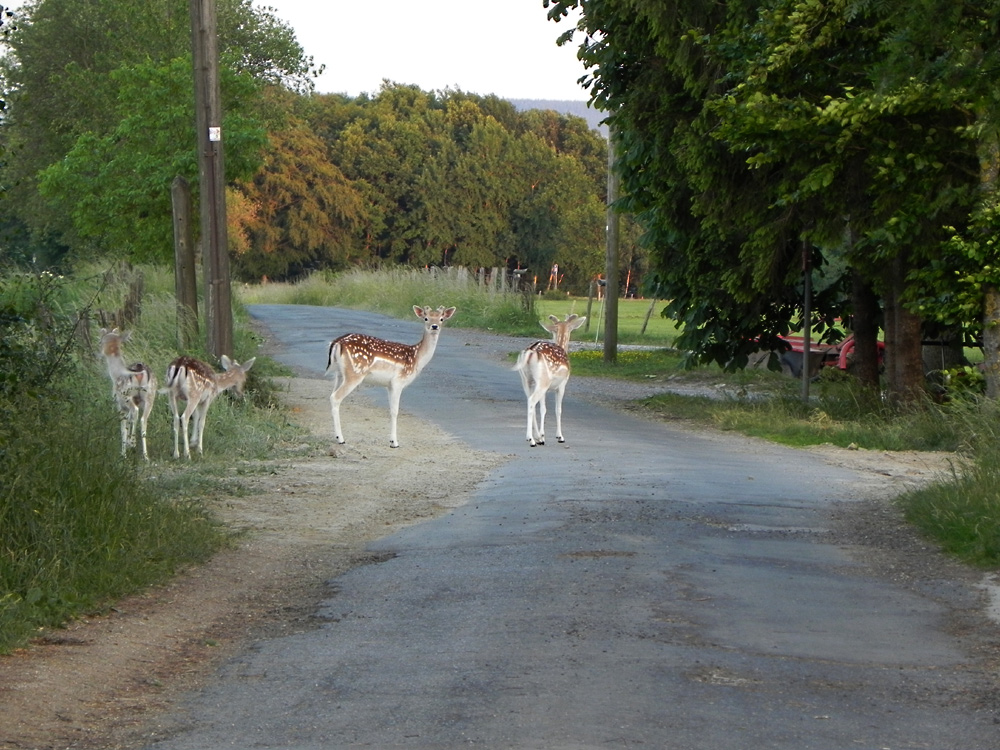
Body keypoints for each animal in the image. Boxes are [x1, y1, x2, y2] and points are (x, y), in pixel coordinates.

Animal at [98, 328, 157, 462]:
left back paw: (132, 444)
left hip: (126, 396)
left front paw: (123, 453)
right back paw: (145, 456)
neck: (114, 375)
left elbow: (123, 428)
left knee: (135, 412)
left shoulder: (119, 405)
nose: (99, 352)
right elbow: (129, 422)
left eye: (101, 341)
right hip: (150, 396)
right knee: (143, 420)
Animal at [324, 304, 458, 450]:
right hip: (355, 373)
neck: (416, 358)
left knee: (331, 395)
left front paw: (391, 440)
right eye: (426, 318)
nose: (434, 326)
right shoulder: (398, 381)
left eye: (441, 318)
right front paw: (394, 442)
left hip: (339, 374)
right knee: (335, 397)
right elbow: (395, 411)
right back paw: (340, 439)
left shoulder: (389, 385)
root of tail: (337, 342)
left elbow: (390, 410)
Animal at [516, 316, 584, 450]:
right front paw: (559, 436)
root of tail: (531, 351)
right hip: (543, 380)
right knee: (532, 401)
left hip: (526, 380)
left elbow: (542, 408)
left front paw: (541, 437)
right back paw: (531, 439)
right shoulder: (562, 385)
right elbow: (558, 409)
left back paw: (535, 437)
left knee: (530, 401)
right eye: (571, 328)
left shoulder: (545, 388)